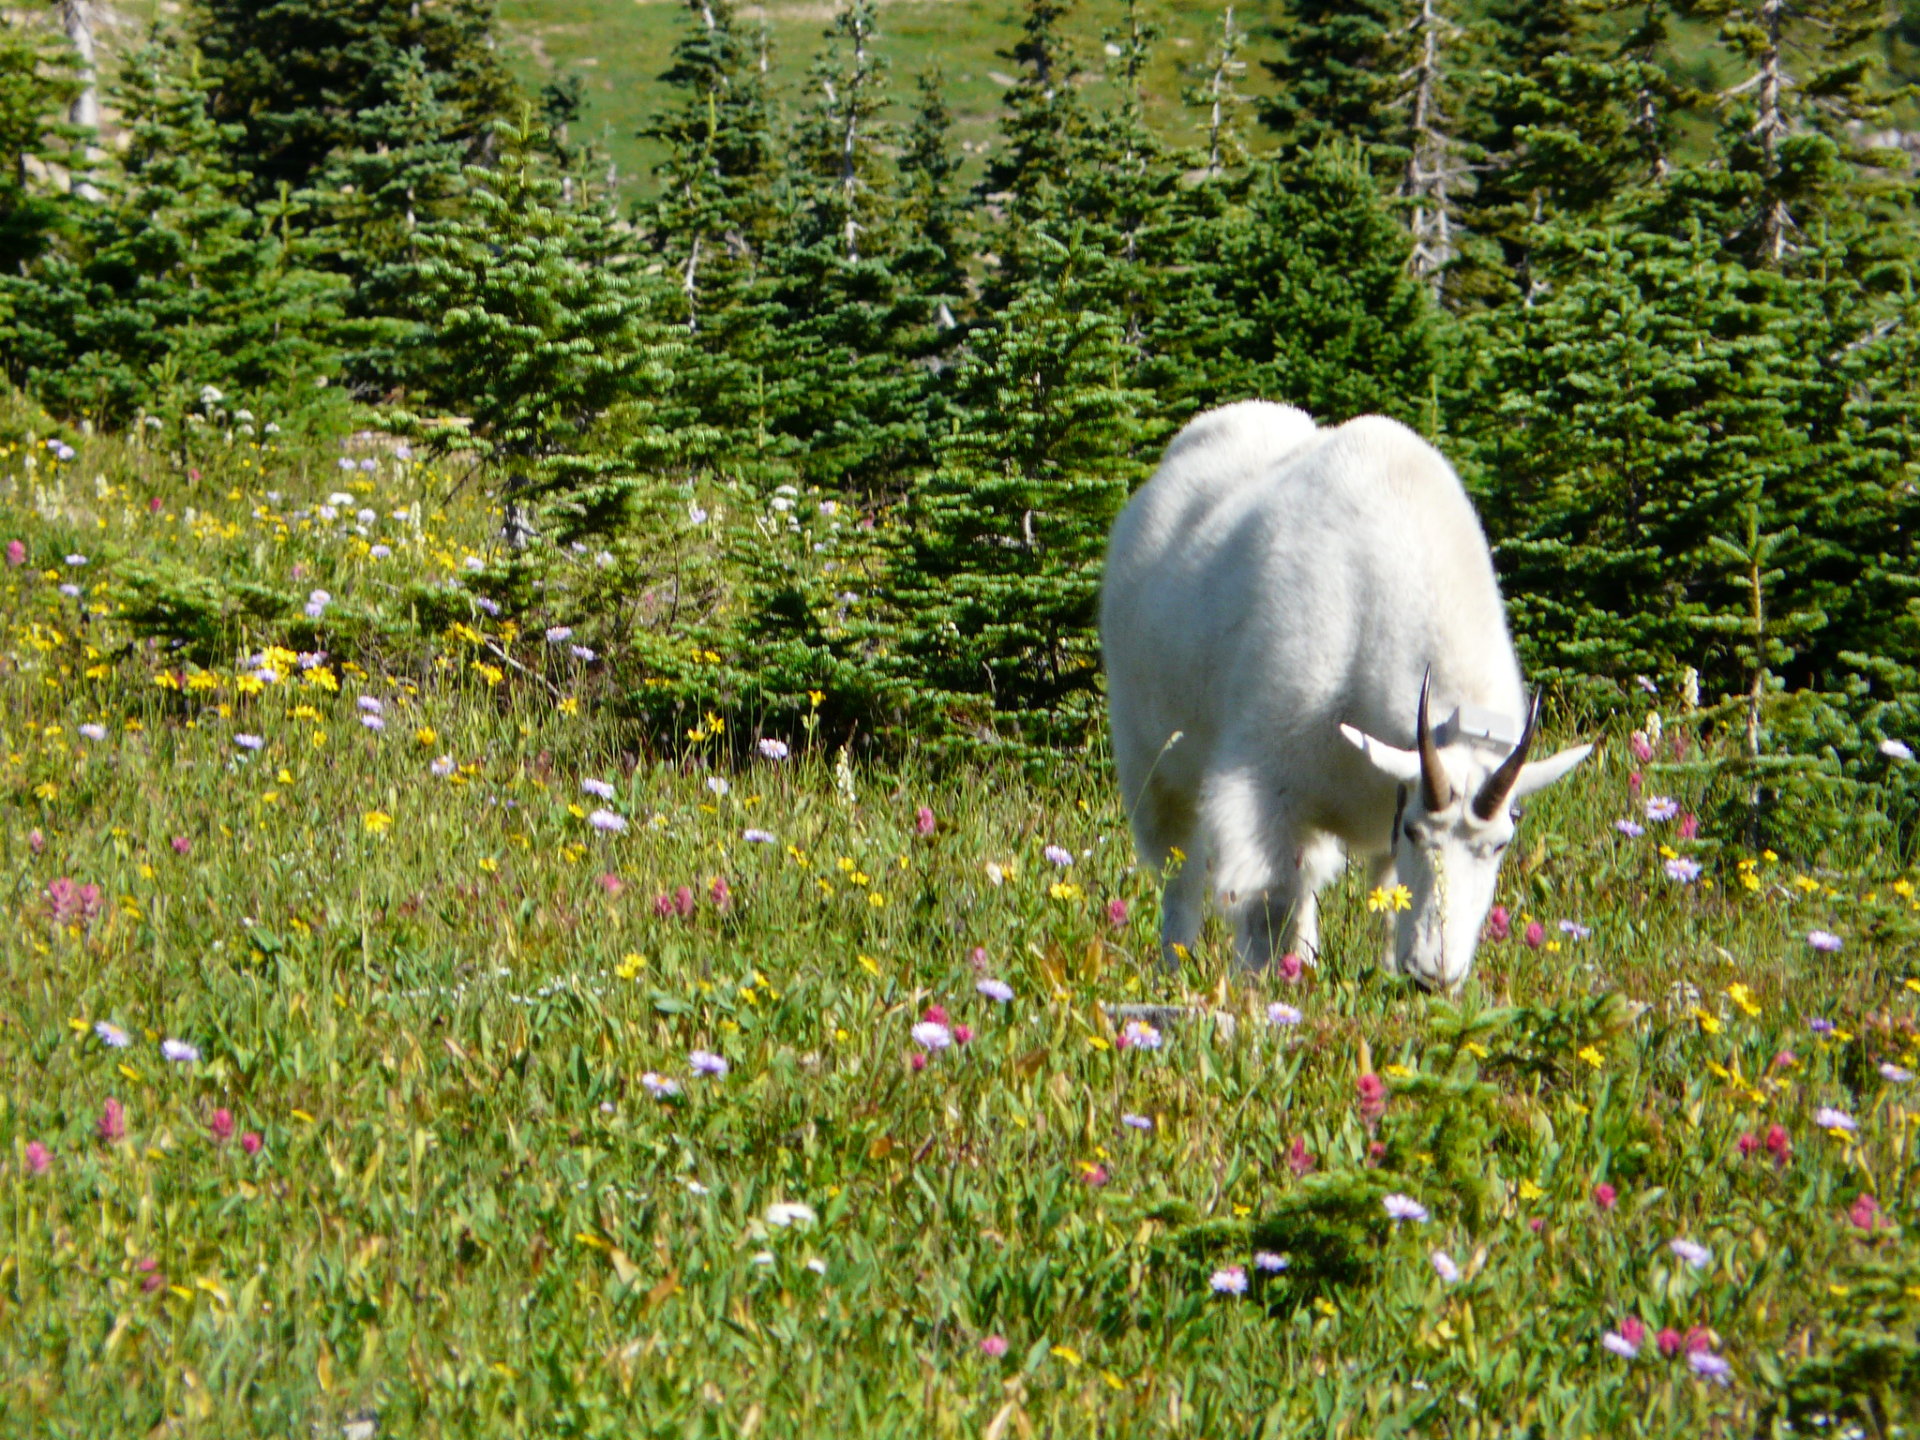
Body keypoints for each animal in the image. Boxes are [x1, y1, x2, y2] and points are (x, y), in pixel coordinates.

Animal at [1105, 403, 1597, 990]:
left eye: (1500, 843)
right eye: (1414, 832)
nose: (1434, 975)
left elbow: (1385, 897)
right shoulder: (1262, 782)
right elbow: (1267, 901)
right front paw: (1263, 986)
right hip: (1151, 756)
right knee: (1179, 870)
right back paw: (1175, 967)